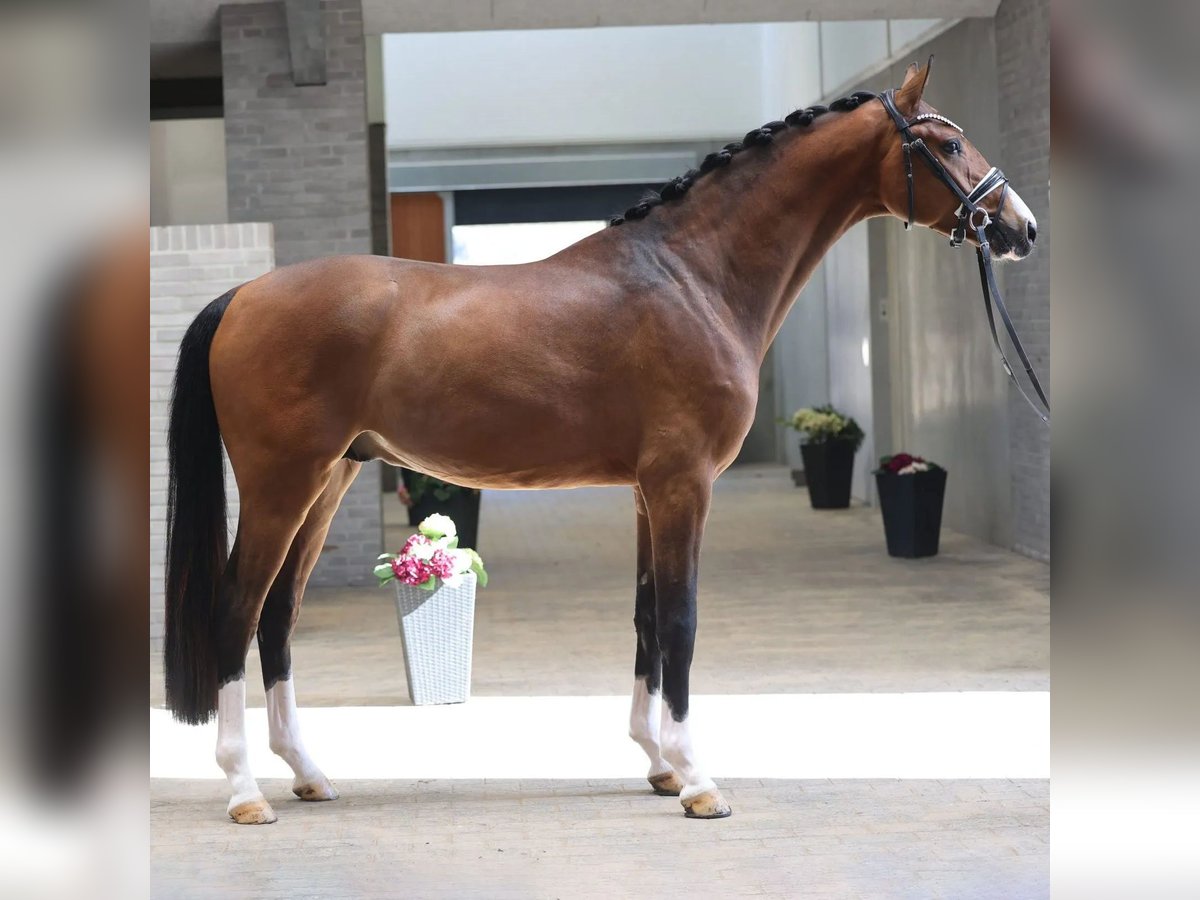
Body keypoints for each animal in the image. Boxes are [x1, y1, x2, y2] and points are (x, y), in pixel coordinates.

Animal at [164, 59, 1038, 824]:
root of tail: (243, 295)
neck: (691, 278)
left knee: (278, 616)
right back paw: (244, 791)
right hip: (283, 483)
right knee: (236, 611)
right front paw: (699, 781)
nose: (1020, 227)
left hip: (329, 480)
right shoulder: (685, 484)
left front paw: (657, 764)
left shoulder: (651, 492)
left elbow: (647, 618)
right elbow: (681, 621)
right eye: (947, 144)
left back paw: (308, 774)